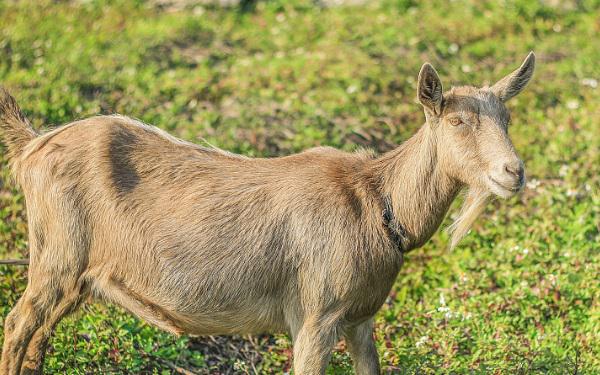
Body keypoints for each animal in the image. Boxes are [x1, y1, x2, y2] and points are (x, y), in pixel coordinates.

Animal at [0, 52, 536, 374]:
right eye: (457, 120)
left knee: (40, 334)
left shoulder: (360, 319)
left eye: (508, 117)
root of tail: (32, 145)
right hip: (56, 255)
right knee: (18, 323)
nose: (514, 171)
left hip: (77, 274)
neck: (376, 203)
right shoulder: (316, 315)